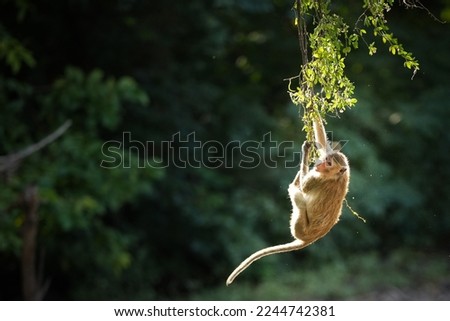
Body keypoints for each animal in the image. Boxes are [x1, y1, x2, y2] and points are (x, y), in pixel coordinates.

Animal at [227, 115, 350, 284]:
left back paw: (295, 183)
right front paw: (312, 108)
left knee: (297, 194)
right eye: (326, 159)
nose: (319, 164)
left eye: (329, 163)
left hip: (299, 227)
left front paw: (305, 154)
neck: (336, 175)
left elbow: (305, 188)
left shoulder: (318, 179)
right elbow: (322, 138)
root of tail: (309, 239)